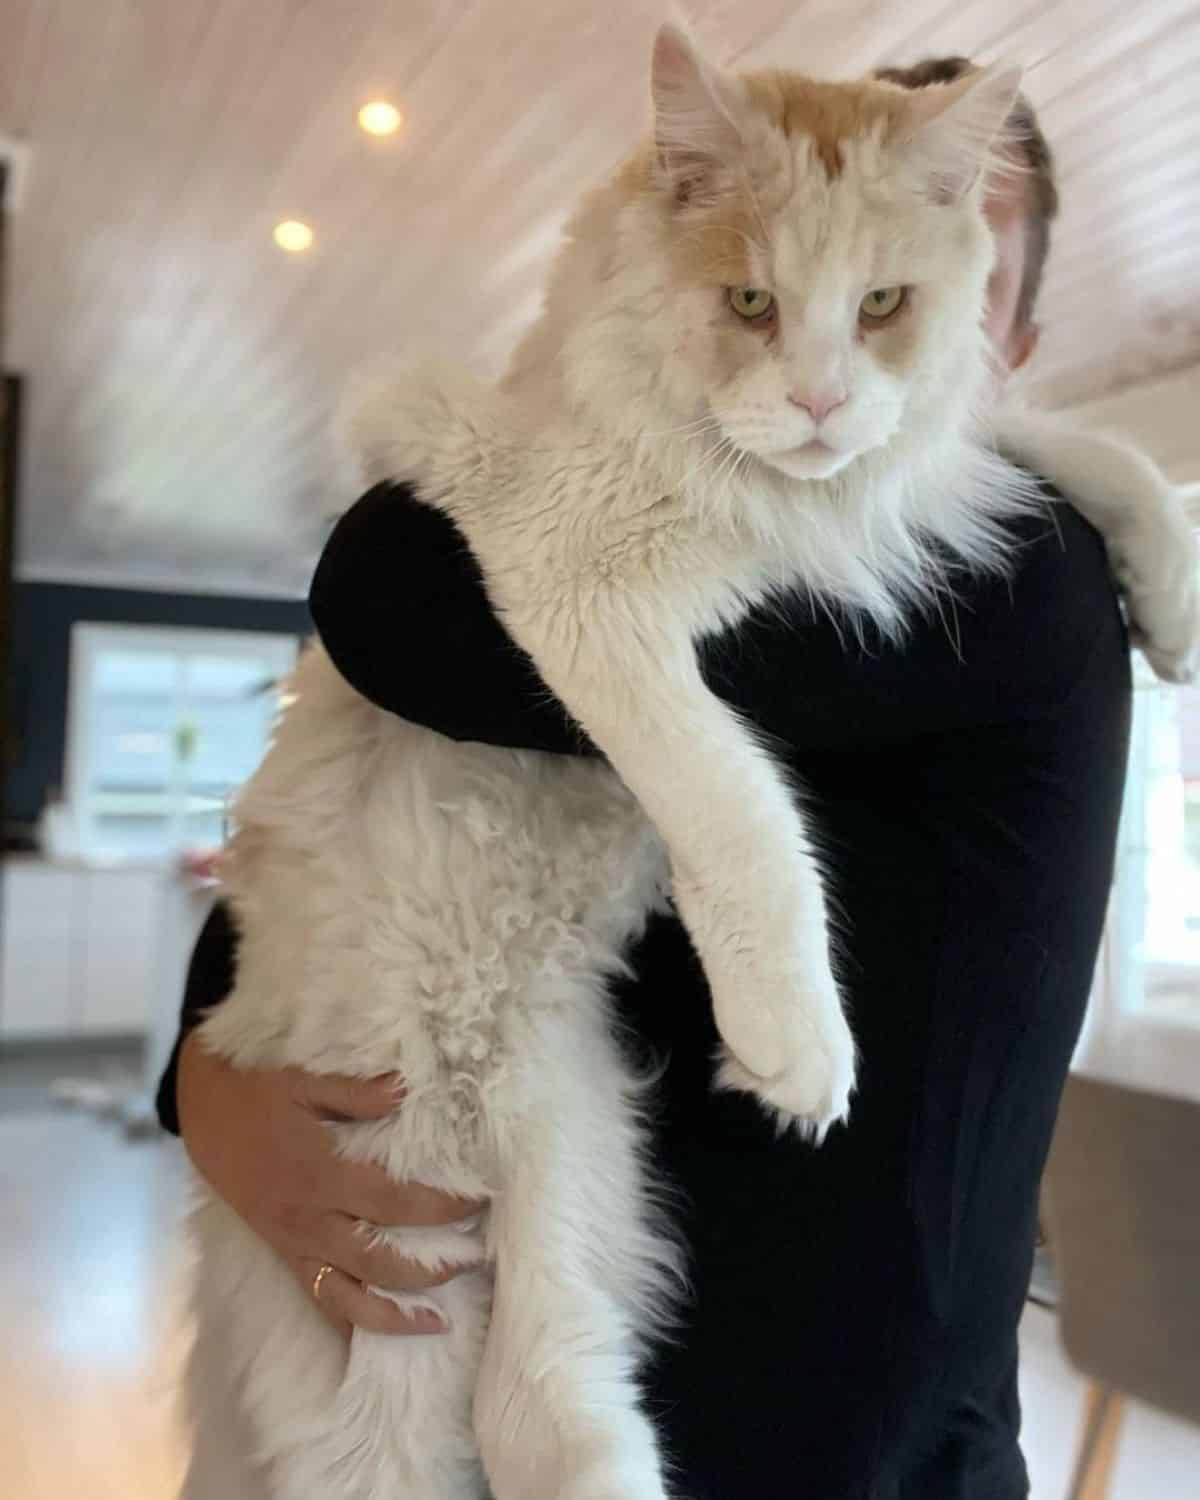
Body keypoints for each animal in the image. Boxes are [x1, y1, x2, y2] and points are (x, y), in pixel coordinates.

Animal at [180, 26, 1200, 1500]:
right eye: (753, 304)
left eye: (882, 305)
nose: (821, 402)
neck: (780, 508)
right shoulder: (566, 571)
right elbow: (739, 807)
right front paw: (797, 1041)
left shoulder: (902, 486)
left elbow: (1041, 439)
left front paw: (1169, 587)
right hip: (395, 1295)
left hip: (566, 1189)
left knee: (545, 1413)